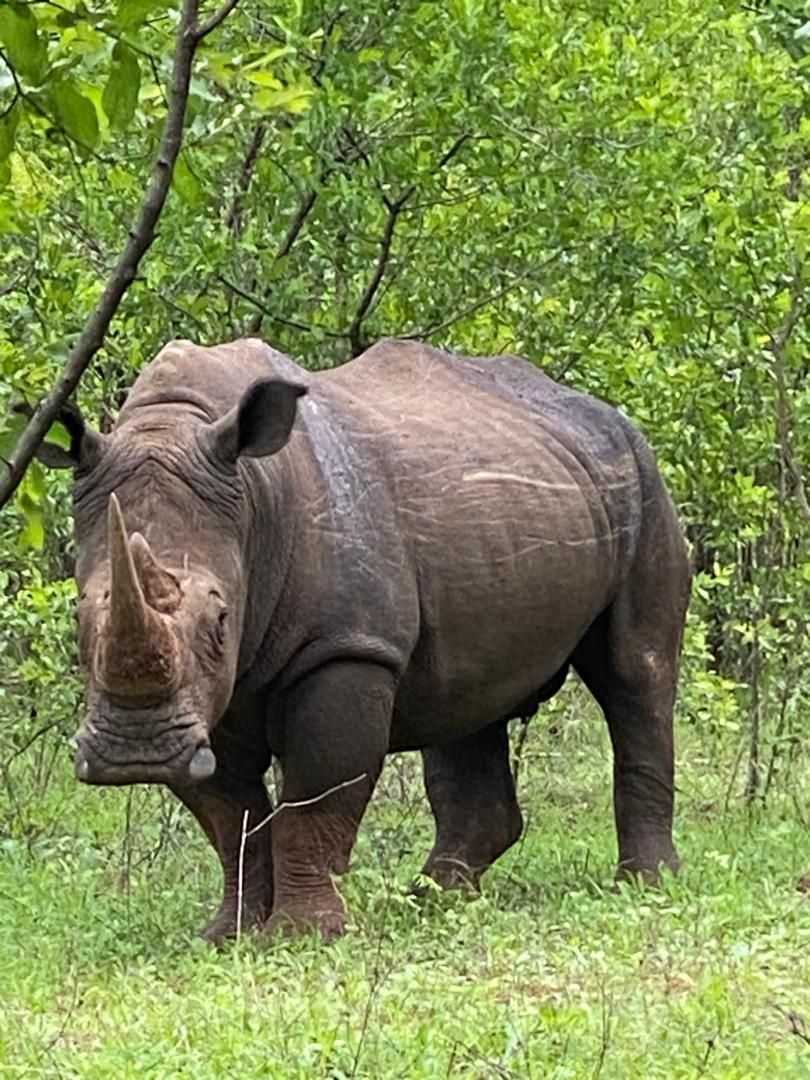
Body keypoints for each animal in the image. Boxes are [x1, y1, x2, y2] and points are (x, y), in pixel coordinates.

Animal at [39, 337, 690, 942]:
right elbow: (230, 816)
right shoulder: (200, 702)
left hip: (642, 478)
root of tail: (604, 412)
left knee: (636, 676)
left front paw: (302, 934)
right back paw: (433, 900)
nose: (136, 755)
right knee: (467, 699)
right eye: (78, 619)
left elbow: (317, 795)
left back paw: (645, 884)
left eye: (221, 621)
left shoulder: (346, 647)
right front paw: (229, 934)